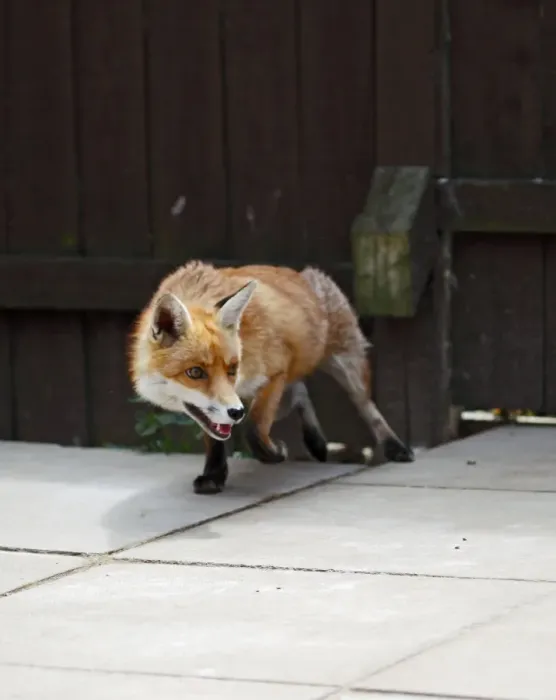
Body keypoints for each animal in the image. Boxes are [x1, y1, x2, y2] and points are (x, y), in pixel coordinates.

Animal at [129, 261, 414, 495]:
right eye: (195, 372)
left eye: (232, 369)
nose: (236, 412)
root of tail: (302, 274)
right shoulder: (218, 407)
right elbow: (217, 436)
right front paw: (214, 475)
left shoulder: (275, 373)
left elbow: (255, 430)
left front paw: (274, 453)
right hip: (283, 394)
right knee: (300, 393)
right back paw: (316, 441)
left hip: (345, 367)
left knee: (367, 407)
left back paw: (395, 447)